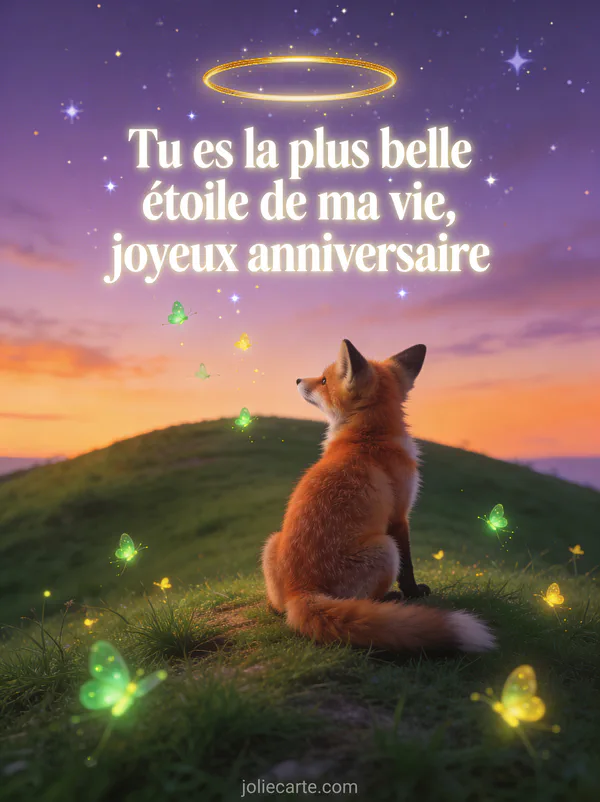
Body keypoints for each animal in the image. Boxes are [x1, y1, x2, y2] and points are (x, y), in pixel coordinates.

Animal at [262, 340, 495, 654]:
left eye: (323, 381)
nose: (297, 379)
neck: (367, 436)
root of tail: (300, 590)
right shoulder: (399, 515)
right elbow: (408, 567)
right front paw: (413, 592)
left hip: (272, 541)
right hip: (385, 549)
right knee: (365, 599)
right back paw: (390, 600)